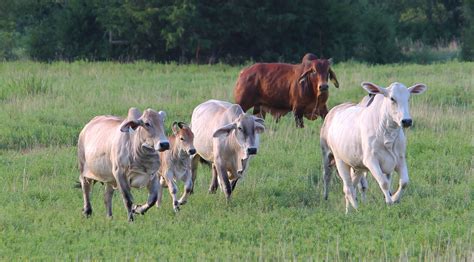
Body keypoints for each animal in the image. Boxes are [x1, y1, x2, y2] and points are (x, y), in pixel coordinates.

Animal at [320, 82, 428, 213]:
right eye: (392, 98)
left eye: (408, 98)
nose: (406, 121)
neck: (387, 133)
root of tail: (334, 111)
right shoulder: (371, 160)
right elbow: (384, 183)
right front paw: (389, 202)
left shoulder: (400, 159)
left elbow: (404, 182)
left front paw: (395, 198)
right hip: (336, 159)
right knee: (344, 186)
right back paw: (356, 209)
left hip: (358, 166)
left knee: (352, 186)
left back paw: (348, 211)